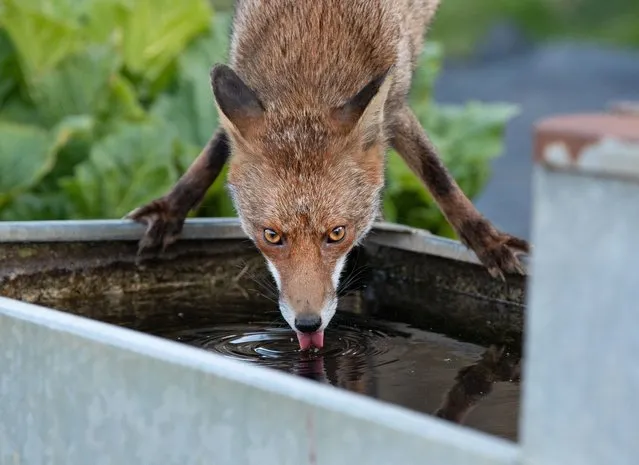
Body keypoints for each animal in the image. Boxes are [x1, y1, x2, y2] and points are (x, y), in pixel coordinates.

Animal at [126, 0, 528, 350]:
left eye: (337, 233)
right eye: (271, 236)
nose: (308, 324)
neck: (311, 48)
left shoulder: (395, 105)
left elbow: (437, 174)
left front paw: (488, 241)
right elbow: (214, 151)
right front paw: (170, 210)